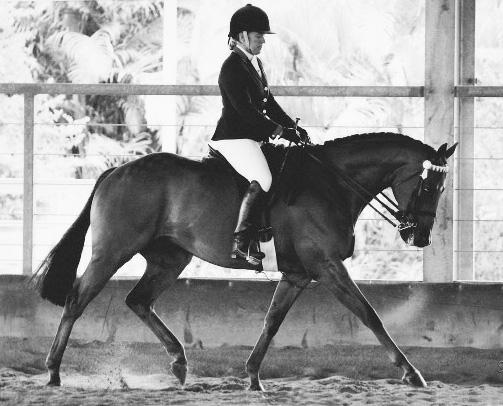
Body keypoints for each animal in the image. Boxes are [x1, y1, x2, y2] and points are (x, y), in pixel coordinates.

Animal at [33, 132, 456, 391]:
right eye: (428, 185)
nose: (419, 237)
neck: (332, 183)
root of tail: (115, 171)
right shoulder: (327, 266)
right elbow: (369, 314)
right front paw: (411, 373)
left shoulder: (298, 274)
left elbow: (272, 321)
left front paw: (252, 376)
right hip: (112, 252)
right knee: (76, 301)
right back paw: (53, 371)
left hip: (170, 259)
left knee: (138, 300)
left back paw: (179, 363)